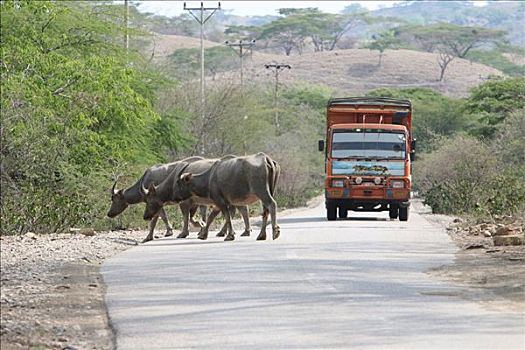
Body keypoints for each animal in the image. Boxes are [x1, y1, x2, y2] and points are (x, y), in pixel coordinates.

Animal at [143, 152, 280, 241]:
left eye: (178, 183)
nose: (145, 216)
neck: (209, 178)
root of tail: (266, 159)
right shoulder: (218, 203)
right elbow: (210, 218)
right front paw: (203, 233)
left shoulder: (220, 202)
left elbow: (226, 217)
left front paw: (229, 235)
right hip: (268, 192)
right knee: (265, 211)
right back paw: (261, 235)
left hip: (262, 192)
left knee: (272, 204)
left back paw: (275, 231)